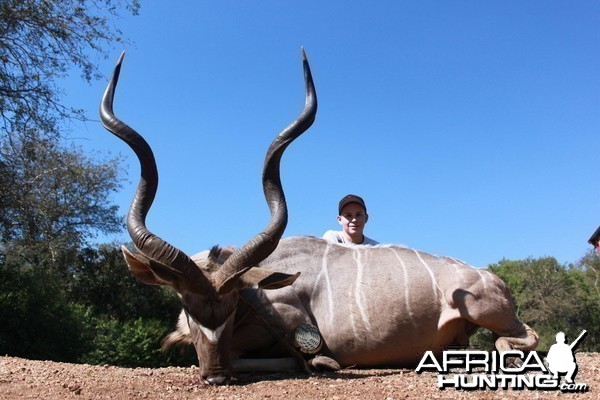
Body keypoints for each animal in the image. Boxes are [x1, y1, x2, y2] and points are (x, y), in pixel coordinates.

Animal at [99, 50, 540, 384]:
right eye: (188, 307)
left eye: (232, 304)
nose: (216, 376)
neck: (260, 293)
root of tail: (492, 278)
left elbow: (288, 357)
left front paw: (323, 360)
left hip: (488, 311)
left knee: (521, 338)